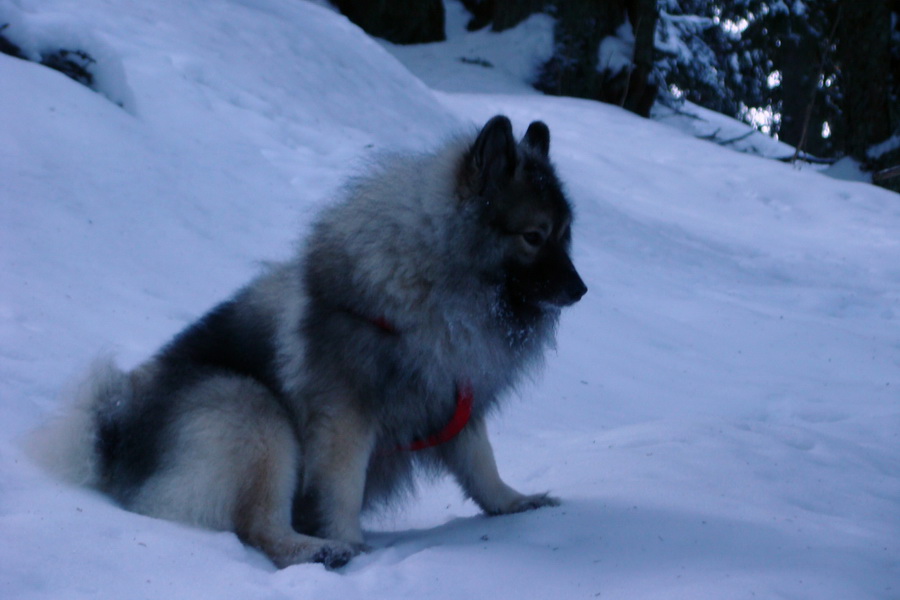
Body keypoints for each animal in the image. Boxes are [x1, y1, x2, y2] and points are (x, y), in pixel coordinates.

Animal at [42, 115, 588, 568]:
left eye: (565, 235)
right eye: (534, 236)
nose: (580, 290)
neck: (437, 283)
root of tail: (116, 434)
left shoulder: (456, 399)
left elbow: (481, 466)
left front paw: (514, 503)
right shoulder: (345, 416)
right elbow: (341, 488)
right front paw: (348, 538)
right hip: (255, 413)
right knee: (260, 527)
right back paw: (320, 550)